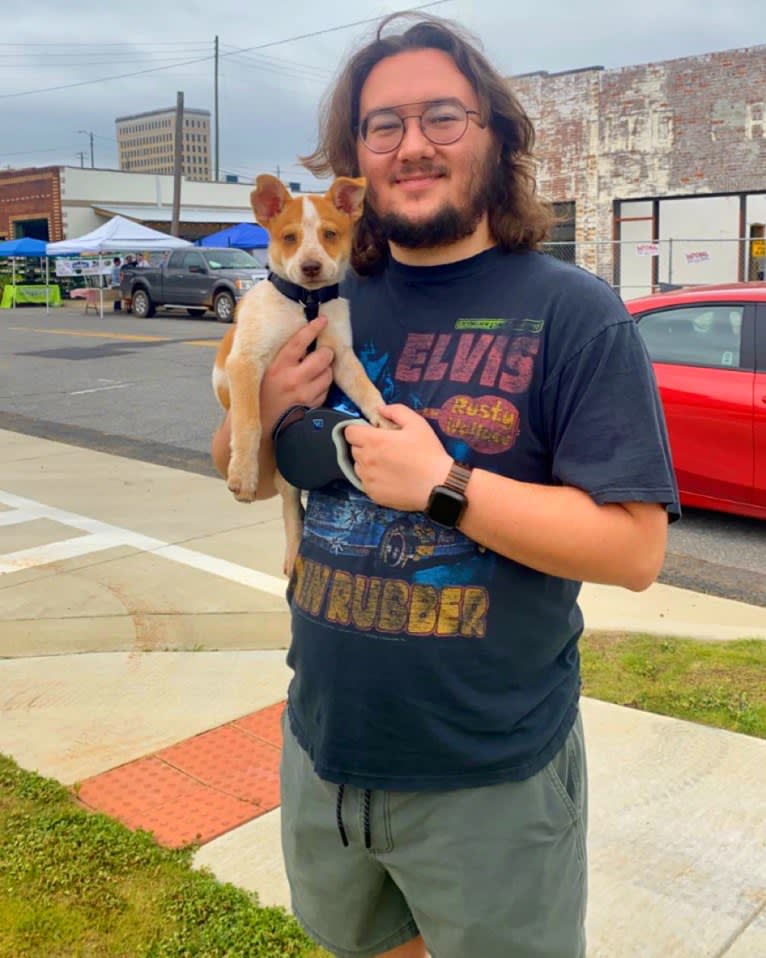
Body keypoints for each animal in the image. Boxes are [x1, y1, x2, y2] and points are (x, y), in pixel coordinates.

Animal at [213, 172, 390, 576]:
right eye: (289, 237)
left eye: (330, 233)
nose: (310, 267)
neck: (305, 304)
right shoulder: (245, 362)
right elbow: (248, 422)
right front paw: (242, 475)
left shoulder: (340, 356)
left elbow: (367, 389)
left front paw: (386, 419)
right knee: (290, 506)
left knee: (292, 510)